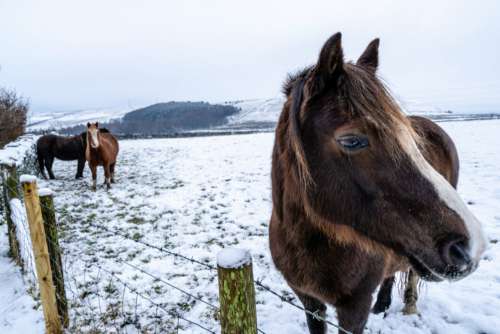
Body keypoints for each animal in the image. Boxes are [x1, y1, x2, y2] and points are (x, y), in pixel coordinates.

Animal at [268, 33, 486, 334]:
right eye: (351, 140)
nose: (470, 246)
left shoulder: (354, 309)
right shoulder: (309, 301)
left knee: (410, 273)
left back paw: (407, 305)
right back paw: (382, 304)